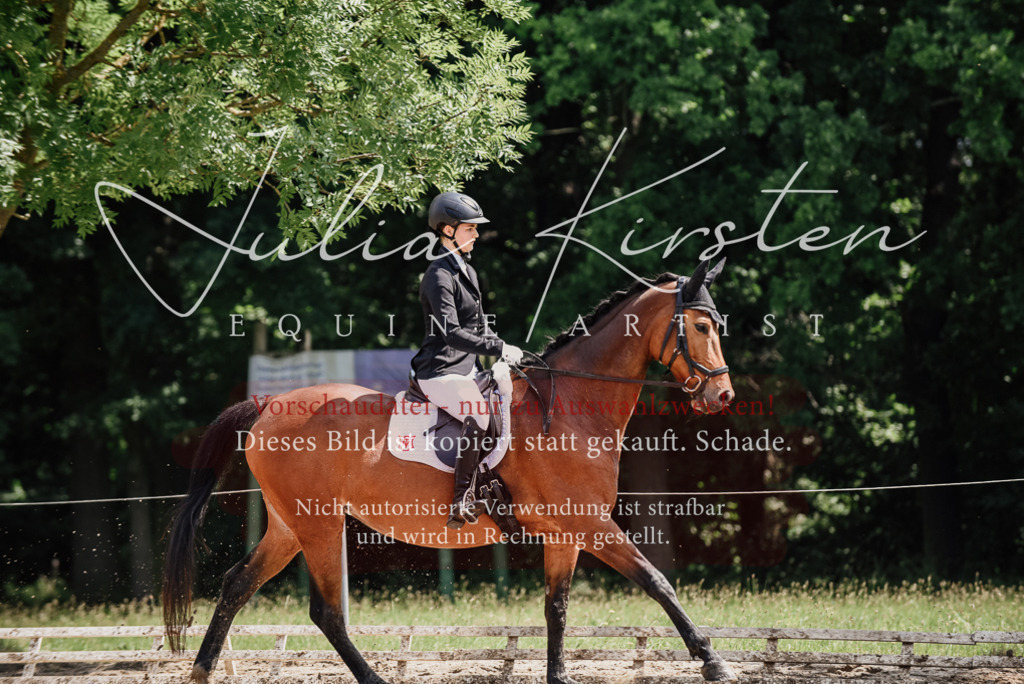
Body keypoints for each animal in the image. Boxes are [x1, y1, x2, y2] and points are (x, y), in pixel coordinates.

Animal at [162, 258, 738, 683]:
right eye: (701, 326)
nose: (723, 396)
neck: (573, 405)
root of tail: (267, 405)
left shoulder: (567, 532)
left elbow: (556, 607)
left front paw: (558, 676)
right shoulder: (592, 525)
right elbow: (657, 581)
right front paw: (713, 661)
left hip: (289, 525)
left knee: (238, 585)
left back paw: (201, 670)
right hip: (318, 524)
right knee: (325, 611)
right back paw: (372, 680)